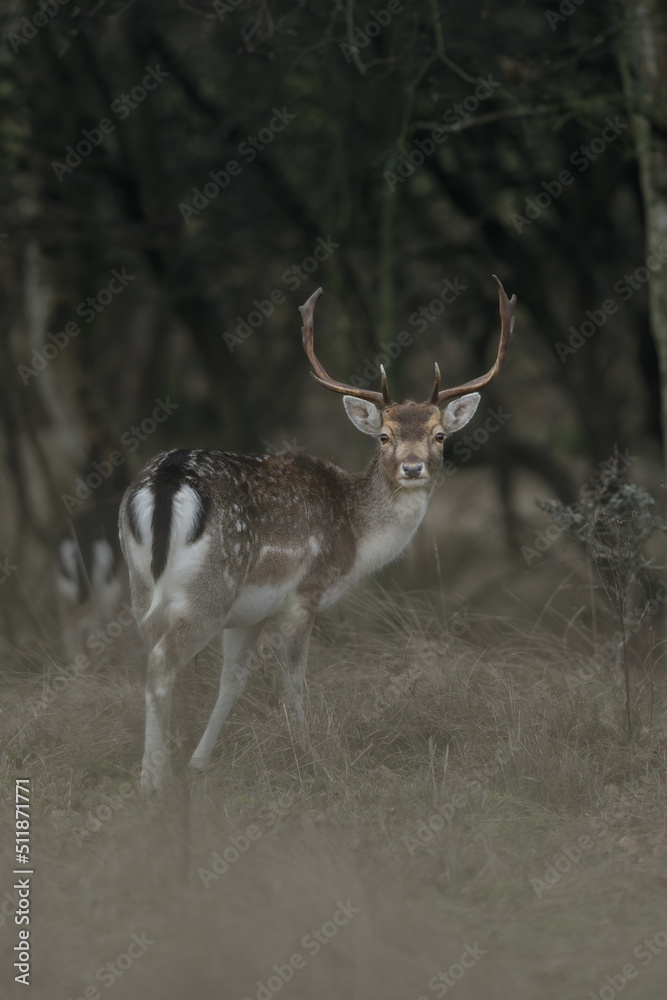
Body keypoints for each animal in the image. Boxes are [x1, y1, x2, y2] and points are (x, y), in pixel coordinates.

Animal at [119, 276, 516, 793]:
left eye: (439, 435)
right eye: (384, 435)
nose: (412, 468)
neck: (355, 537)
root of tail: (165, 483)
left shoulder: (250, 613)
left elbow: (234, 681)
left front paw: (200, 762)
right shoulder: (304, 593)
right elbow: (295, 679)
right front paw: (310, 754)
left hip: (141, 586)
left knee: (146, 657)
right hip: (210, 590)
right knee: (161, 664)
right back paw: (154, 779)